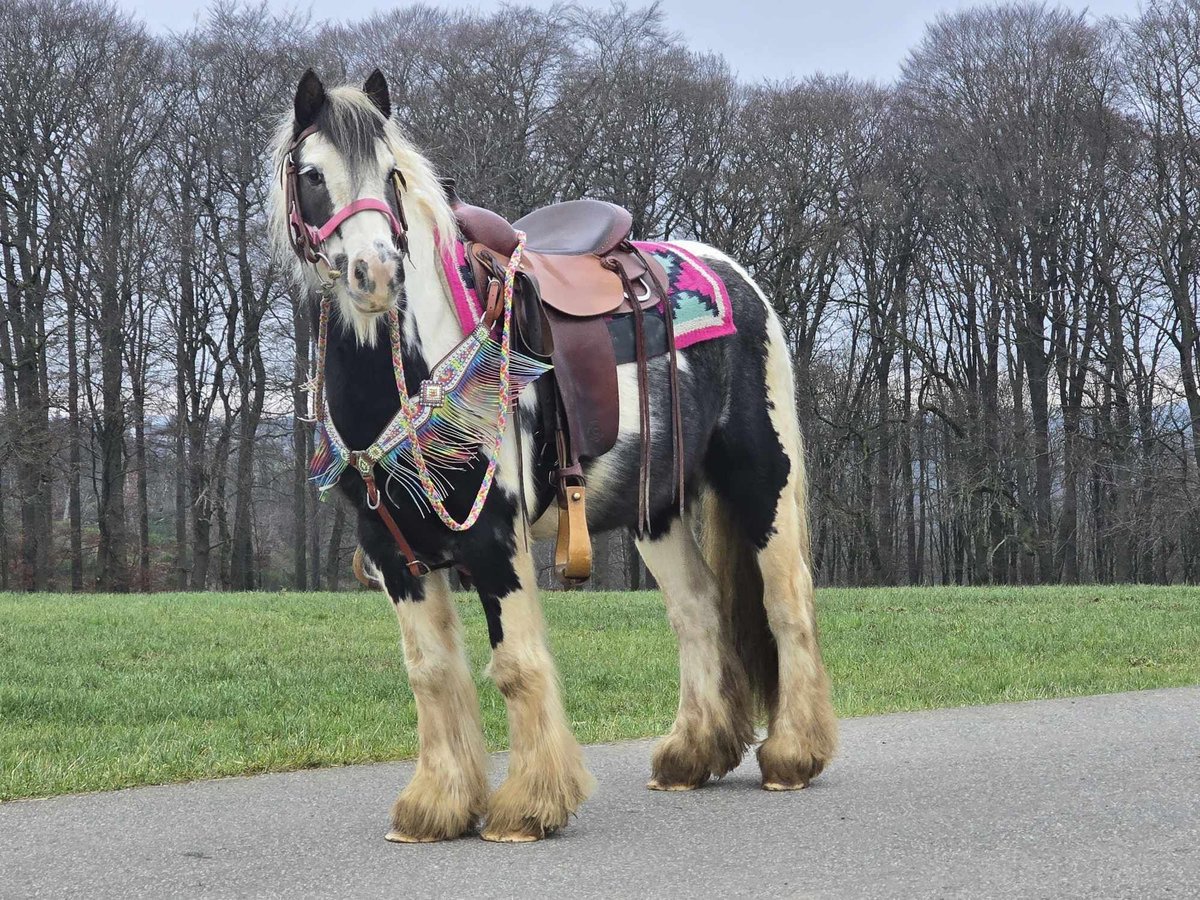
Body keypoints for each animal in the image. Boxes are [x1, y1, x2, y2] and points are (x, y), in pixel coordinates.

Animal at [270, 68, 835, 844]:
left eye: (390, 176)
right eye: (311, 175)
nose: (375, 273)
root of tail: (733, 275)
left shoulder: (494, 538)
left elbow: (514, 664)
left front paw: (527, 807)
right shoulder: (393, 551)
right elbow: (430, 672)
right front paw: (435, 806)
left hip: (762, 480)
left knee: (787, 602)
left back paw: (792, 756)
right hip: (654, 508)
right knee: (698, 610)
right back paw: (690, 756)